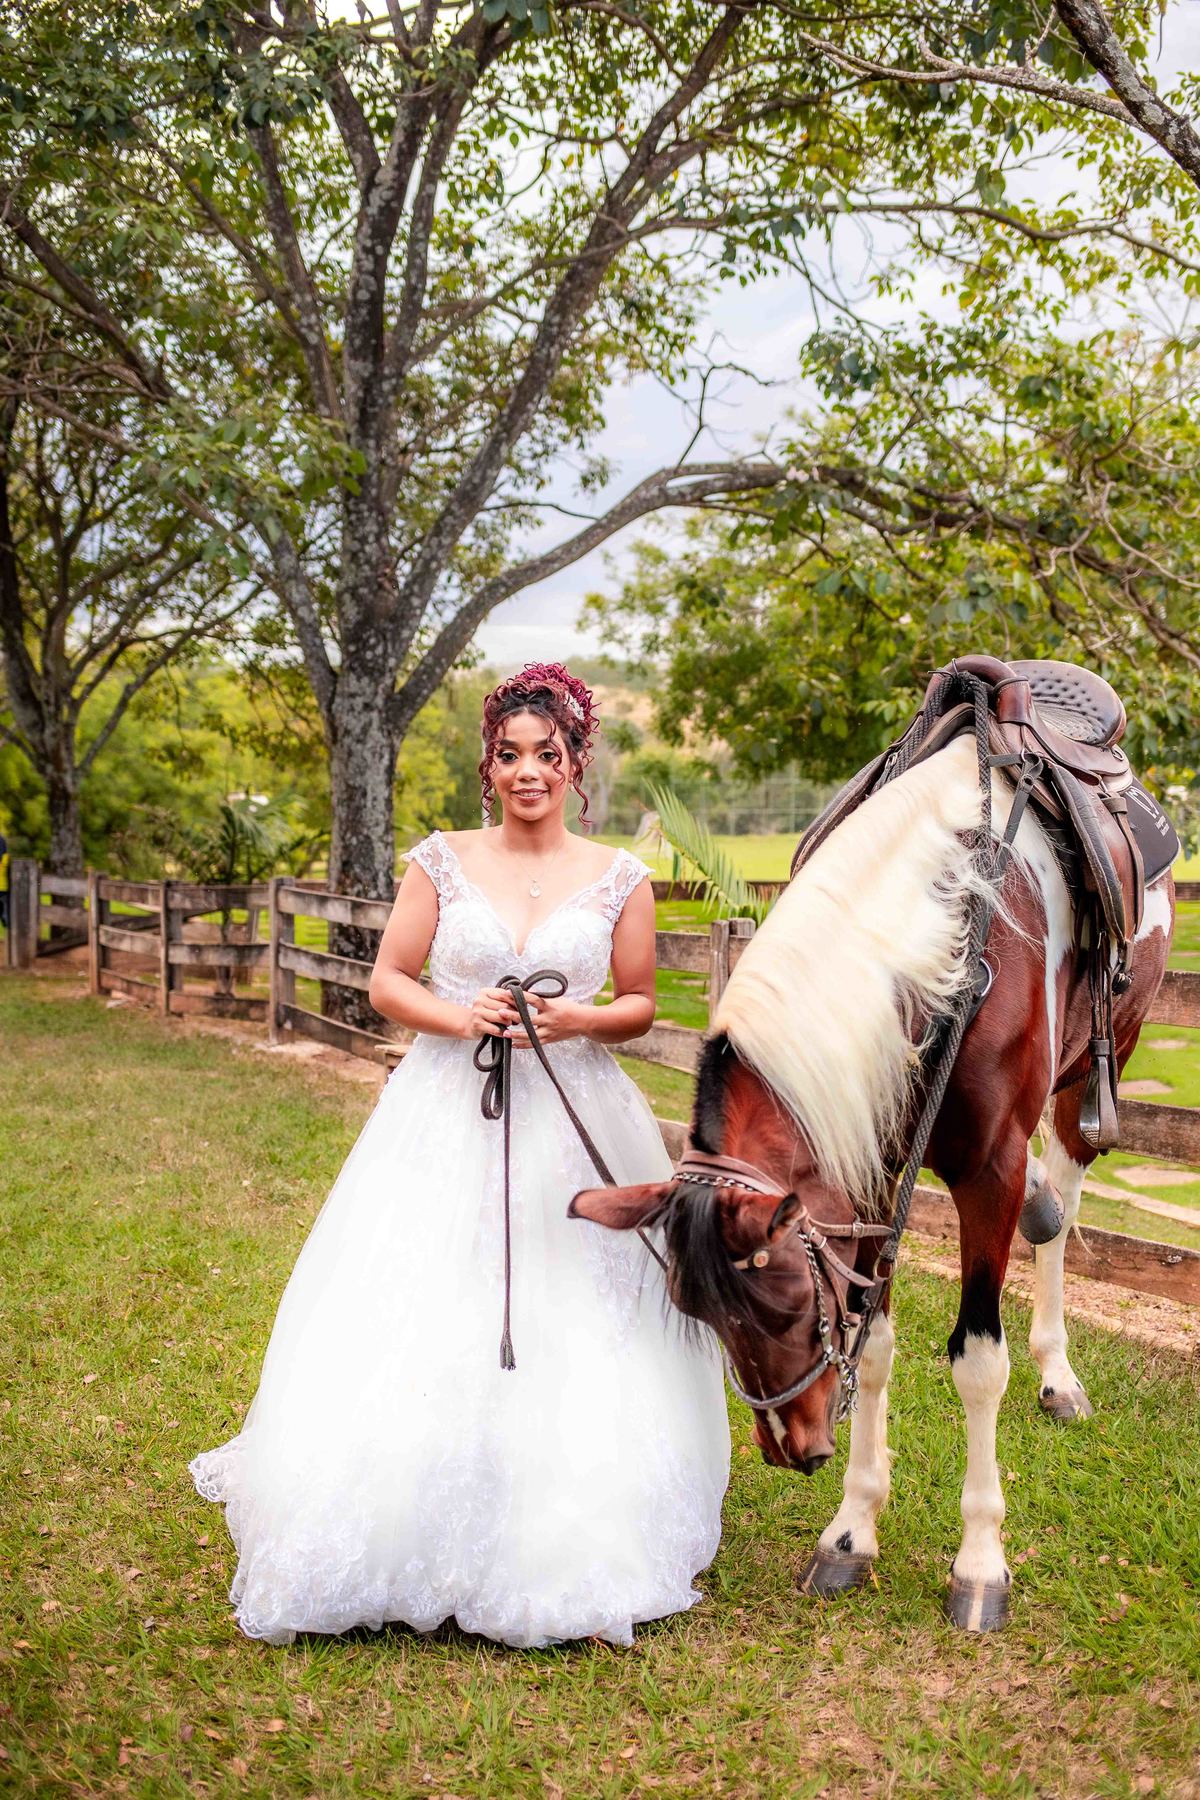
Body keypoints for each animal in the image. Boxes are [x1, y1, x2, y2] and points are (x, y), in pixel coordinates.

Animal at [571, 674, 1174, 1631]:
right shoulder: (873, 1169)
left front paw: (981, 1562)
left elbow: (978, 1362)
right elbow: (876, 1339)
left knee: (1063, 1206)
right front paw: (852, 1530)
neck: (949, 946)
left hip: (1094, 1073)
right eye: (700, 1313)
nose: (791, 1448)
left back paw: (1058, 1371)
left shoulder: (989, 1173)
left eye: (782, 1304)